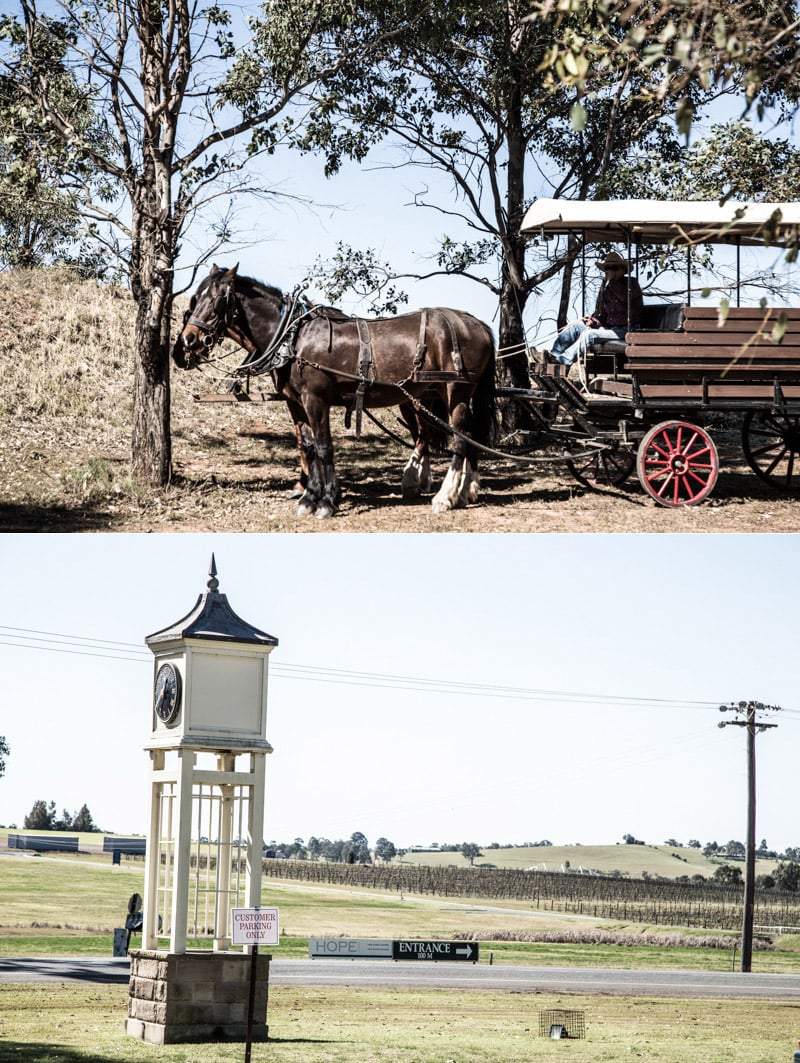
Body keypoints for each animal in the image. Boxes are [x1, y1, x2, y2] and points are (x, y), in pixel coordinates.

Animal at [175, 263, 497, 516]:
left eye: (217, 300)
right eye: (195, 299)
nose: (188, 341)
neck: (294, 337)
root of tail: (478, 324)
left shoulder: (315, 399)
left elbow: (324, 447)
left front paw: (327, 501)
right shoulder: (295, 402)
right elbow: (308, 447)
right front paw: (309, 497)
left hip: (455, 390)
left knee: (460, 438)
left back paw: (447, 495)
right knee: (464, 435)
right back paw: (465, 491)